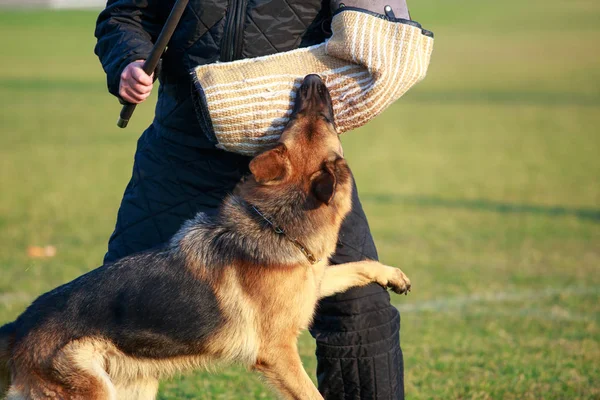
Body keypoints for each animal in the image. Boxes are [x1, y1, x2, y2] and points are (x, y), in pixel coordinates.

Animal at [0, 75, 410, 400]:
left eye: (301, 118)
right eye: (322, 118)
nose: (311, 78)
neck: (275, 223)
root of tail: (17, 328)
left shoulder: (313, 281)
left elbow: (356, 266)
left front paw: (391, 274)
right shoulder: (277, 353)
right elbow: (312, 395)